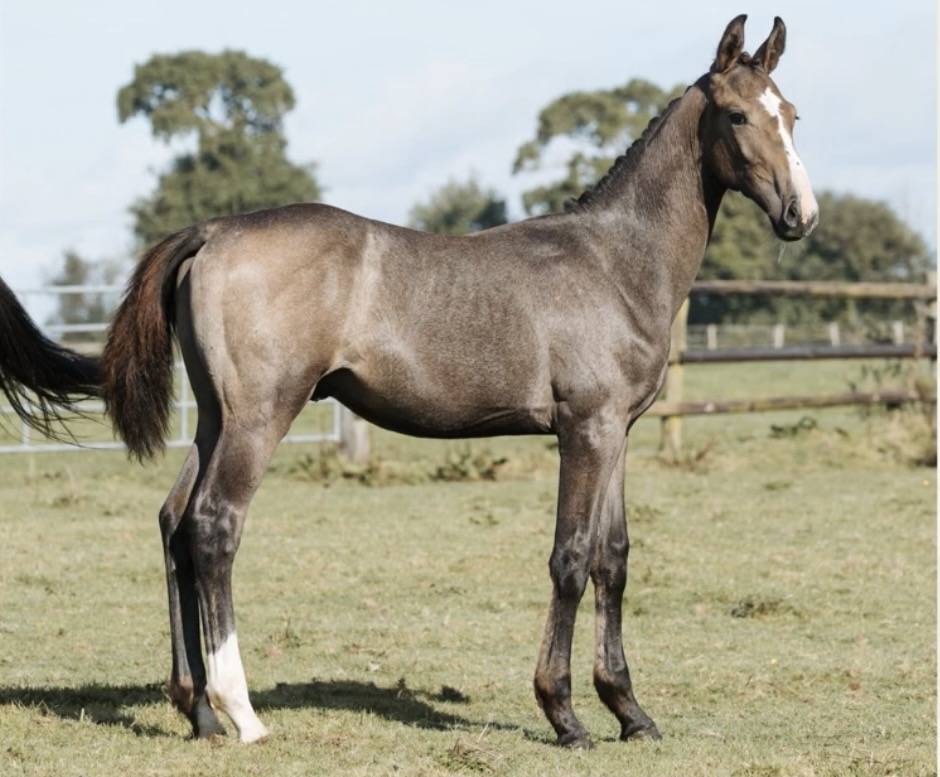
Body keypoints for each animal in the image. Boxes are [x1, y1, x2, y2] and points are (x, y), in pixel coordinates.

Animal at [100, 15, 818, 748]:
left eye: (791, 114)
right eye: (737, 116)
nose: (801, 214)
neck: (615, 261)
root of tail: (213, 231)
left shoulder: (618, 430)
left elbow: (612, 559)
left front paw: (630, 711)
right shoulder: (584, 429)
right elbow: (571, 558)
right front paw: (564, 713)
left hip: (216, 418)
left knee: (176, 522)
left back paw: (197, 709)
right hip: (260, 417)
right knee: (214, 525)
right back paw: (242, 711)